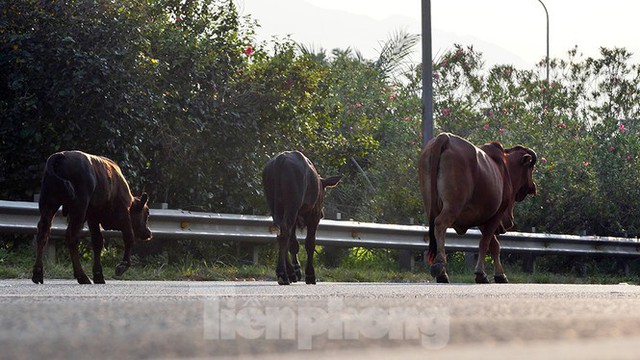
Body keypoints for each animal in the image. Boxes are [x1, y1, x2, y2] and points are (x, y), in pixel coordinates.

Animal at [32, 150, 152, 284]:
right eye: (147, 212)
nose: (148, 233)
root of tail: (62, 155)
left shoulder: (93, 219)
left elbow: (98, 242)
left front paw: (99, 275)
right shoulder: (123, 215)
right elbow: (129, 238)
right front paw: (122, 266)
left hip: (49, 205)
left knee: (43, 233)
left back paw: (38, 274)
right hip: (78, 210)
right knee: (71, 236)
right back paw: (82, 276)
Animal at [262, 150, 342, 286]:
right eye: (325, 193)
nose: (322, 214)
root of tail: (280, 160)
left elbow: (294, 243)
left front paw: (296, 271)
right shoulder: (313, 217)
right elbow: (310, 243)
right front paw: (310, 274)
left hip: (276, 207)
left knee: (281, 234)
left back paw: (287, 273)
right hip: (292, 206)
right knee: (284, 232)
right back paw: (283, 274)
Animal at [418, 133, 536, 284]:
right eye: (530, 168)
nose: (533, 187)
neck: (504, 169)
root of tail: (445, 137)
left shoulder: (483, 219)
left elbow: (494, 245)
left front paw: (500, 275)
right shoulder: (496, 214)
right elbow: (485, 243)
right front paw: (481, 273)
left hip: (430, 206)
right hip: (453, 206)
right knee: (440, 224)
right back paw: (440, 266)